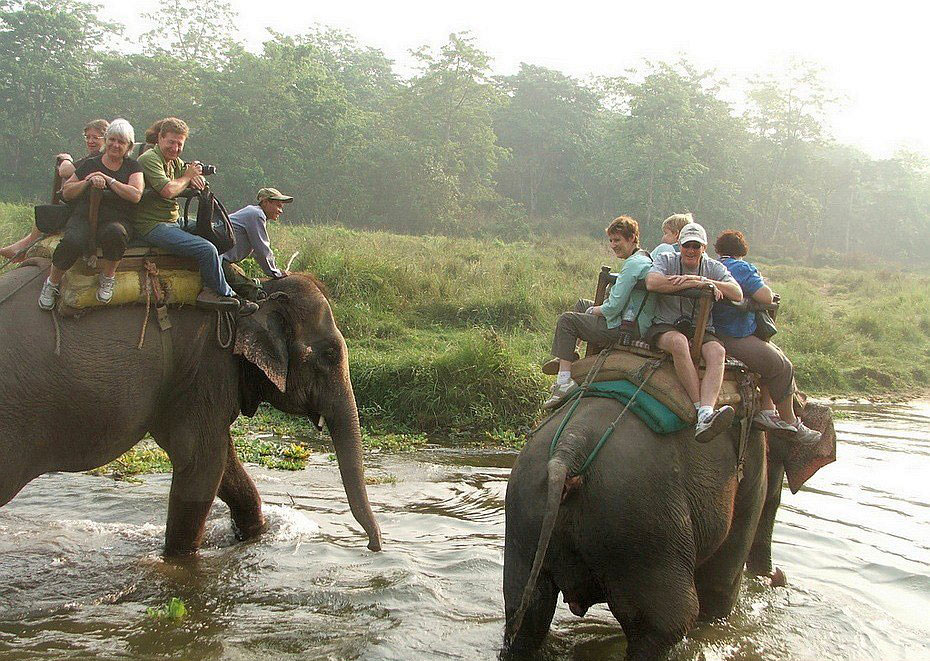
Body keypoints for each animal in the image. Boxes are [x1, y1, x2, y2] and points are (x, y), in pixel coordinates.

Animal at [0, 255, 380, 556]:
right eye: (329, 355)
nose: (373, 547)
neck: (248, 298)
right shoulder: (206, 363)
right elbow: (202, 462)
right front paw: (179, 561)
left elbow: (225, 463)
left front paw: (253, 536)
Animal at [500, 390, 832, 656]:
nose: (778, 576)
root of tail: (568, 450)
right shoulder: (751, 467)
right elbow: (720, 586)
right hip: (644, 527)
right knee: (668, 622)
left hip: (525, 515)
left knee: (526, 615)